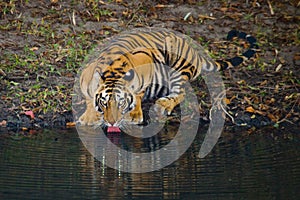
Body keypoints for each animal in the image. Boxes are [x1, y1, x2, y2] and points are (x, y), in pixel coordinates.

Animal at [78, 27, 258, 128]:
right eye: (105, 103)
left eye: (121, 102)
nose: (112, 123)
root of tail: (194, 52)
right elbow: (89, 98)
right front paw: (89, 117)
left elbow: (138, 94)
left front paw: (134, 115)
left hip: (177, 64)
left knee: (181, 93)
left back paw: (162, 105)